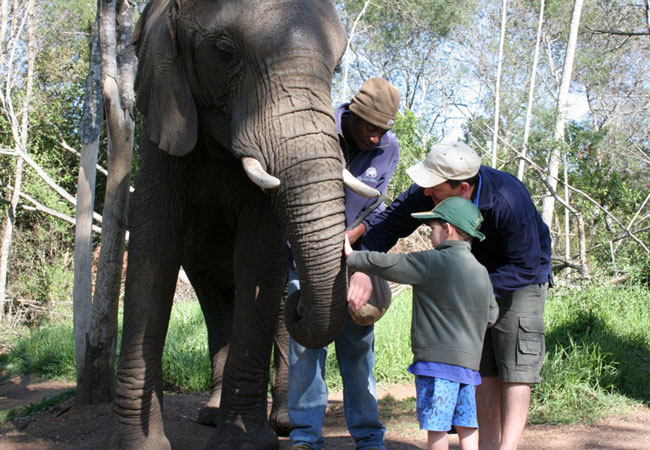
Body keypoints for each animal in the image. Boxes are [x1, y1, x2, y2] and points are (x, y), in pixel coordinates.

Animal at [109, 0, 380, 450]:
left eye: (338, 66)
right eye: (224, 52)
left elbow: (259, 259)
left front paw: (244, 443)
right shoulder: (164, 132)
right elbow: (152, 257)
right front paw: (137, 443)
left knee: (271, 309)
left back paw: (283, 423)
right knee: (218, 307)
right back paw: (210, 415)